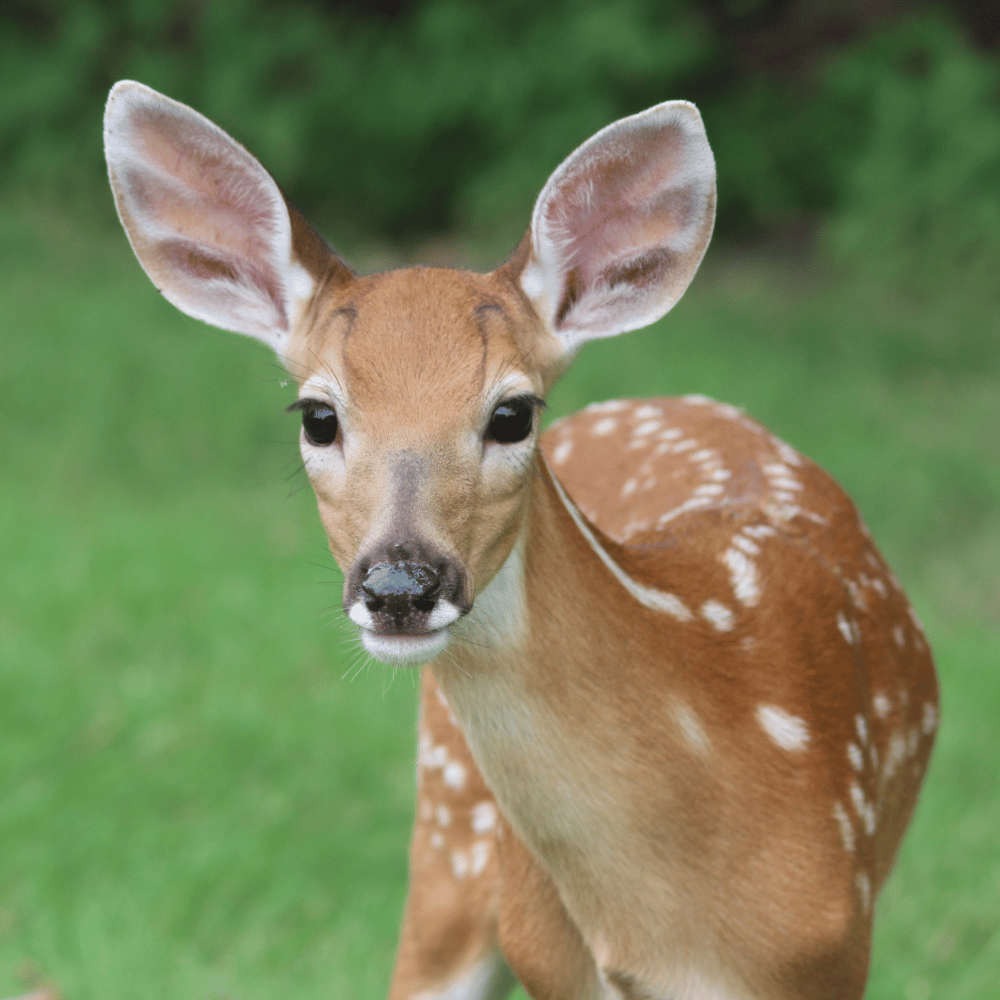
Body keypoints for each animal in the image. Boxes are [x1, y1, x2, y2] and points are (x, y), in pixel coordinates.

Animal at [103, 80, 938, 1000]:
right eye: (317, 415)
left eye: (512, 413)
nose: (400, 587)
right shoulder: (549, 957)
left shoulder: (830, 950)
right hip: (450, 835)